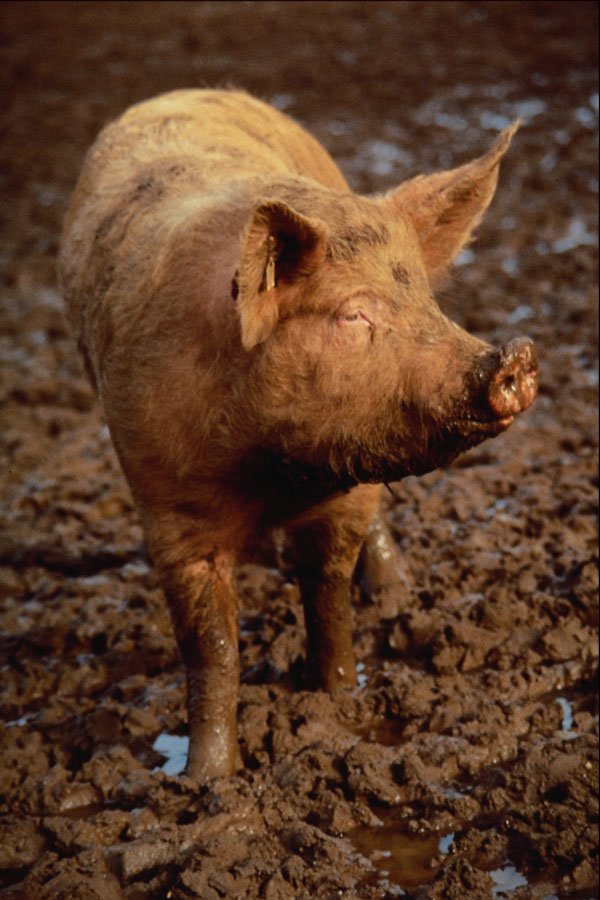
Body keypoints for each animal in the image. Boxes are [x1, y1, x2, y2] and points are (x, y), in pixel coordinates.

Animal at [59, 89, 538, 782]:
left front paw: (338, 701)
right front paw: (207, 781)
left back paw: (396, 594)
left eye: (425, 298)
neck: (274, 470)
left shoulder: (353, 481)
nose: (514, 355)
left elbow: (328, 597)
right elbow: (211, 647)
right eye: (354, 313)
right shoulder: (166, 504)